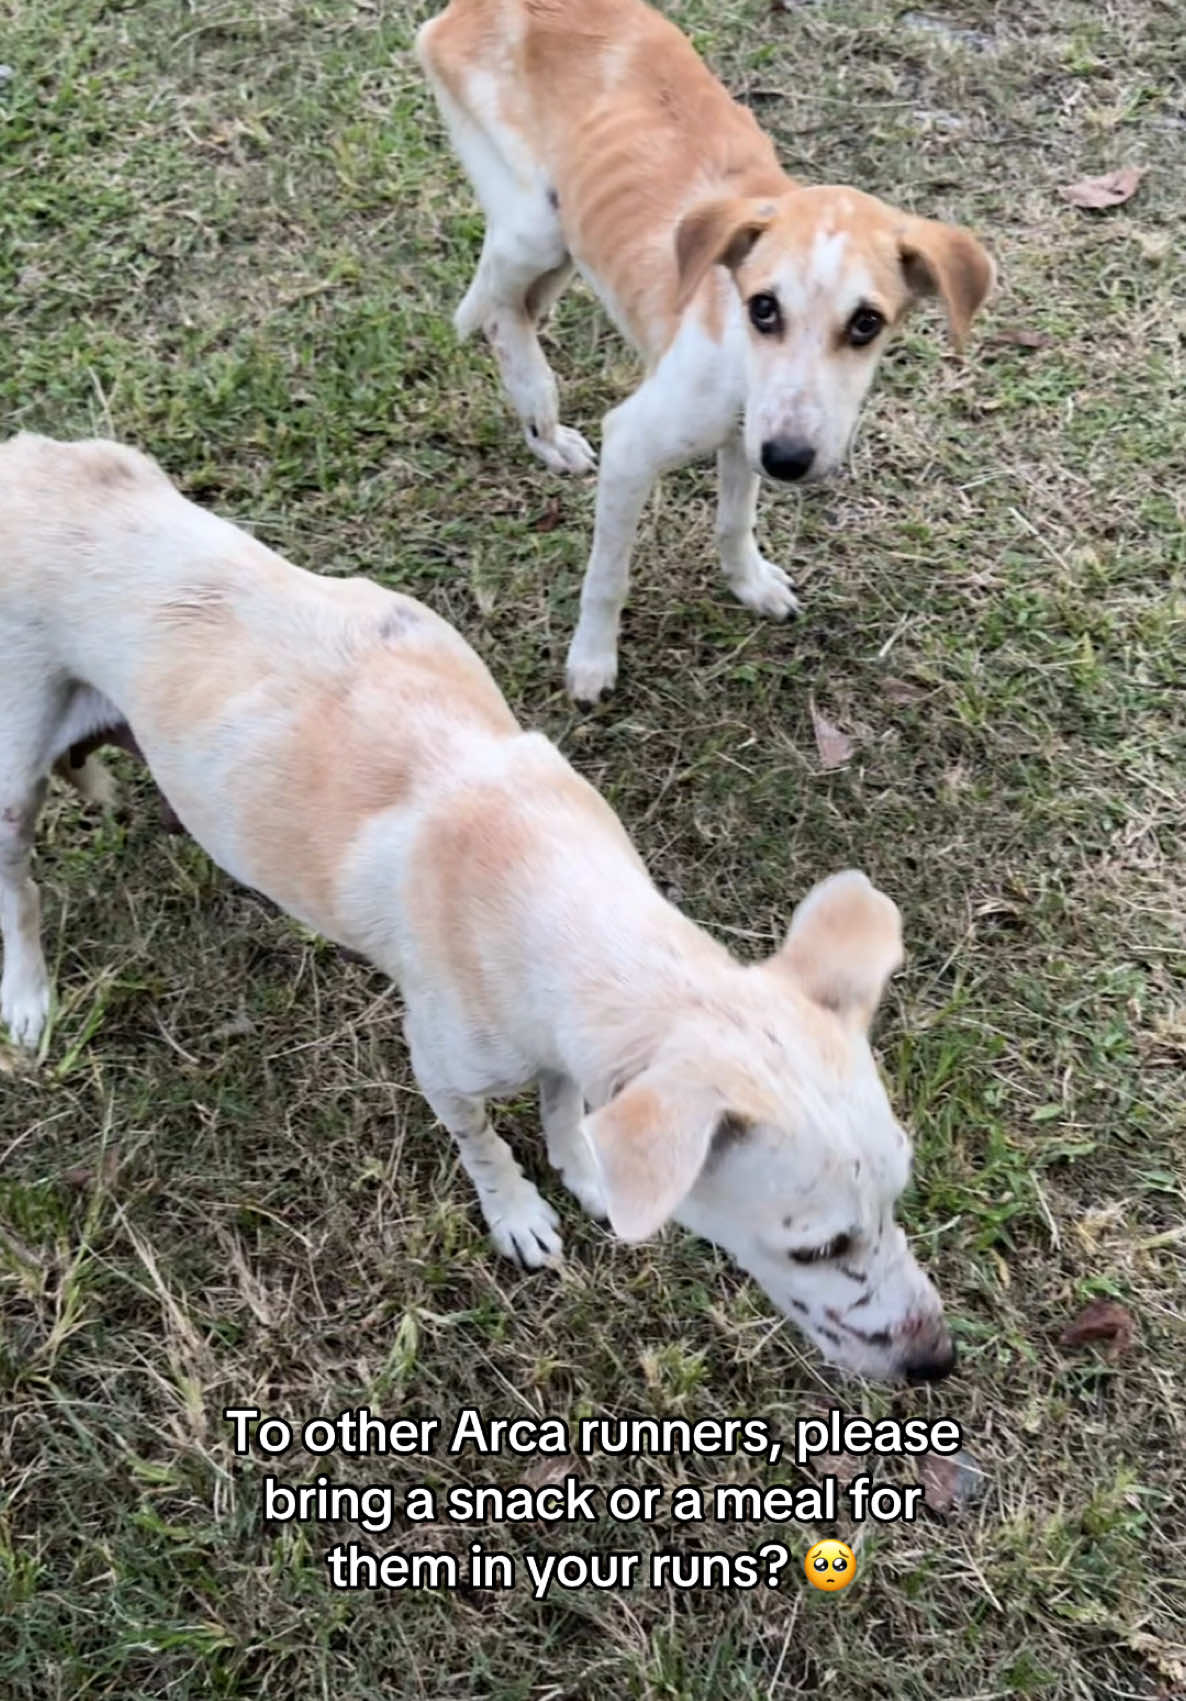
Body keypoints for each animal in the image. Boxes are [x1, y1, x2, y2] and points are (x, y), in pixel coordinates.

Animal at [0, 435, 952, 1381]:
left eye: (898, 1197)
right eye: (817, 1248)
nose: (937, 1360)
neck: (562, 896)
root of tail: (29, 451)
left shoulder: (563, 1042)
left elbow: (563, 1104)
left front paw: (582, 1167)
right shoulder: (443, 1070)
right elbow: (486, 1144)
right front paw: (518, 1213)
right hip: (12, 785)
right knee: (20, 891)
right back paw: (29, 998)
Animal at [416, 0, 986, 704]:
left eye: (866, 324)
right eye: (762, 307)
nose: (790, 460)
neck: (741, 359)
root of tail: (474, 8)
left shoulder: (748, 441)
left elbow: (734, 521)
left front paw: (749, 583)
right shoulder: (632, 445)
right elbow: (608, 577)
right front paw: (592, 660)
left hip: (565, 238)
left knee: (517, 306)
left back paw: (540, 425)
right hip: (534, 226)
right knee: (498, 311)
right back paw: (541, 413)